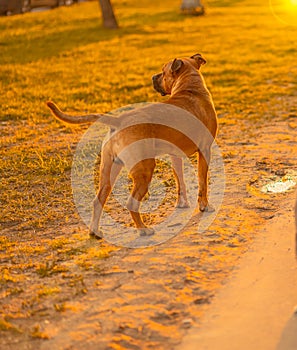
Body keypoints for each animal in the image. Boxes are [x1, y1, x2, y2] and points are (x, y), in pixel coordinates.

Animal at [47, 54, 216, 238]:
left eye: (162, 72)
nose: (153, 76)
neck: (191, 88)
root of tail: (119, 120)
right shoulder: (204, 151)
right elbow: (202, 182)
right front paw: (204, 205)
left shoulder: (175, 155)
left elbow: (180, 181)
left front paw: (182, 203)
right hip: (145, 170)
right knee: (131, 203)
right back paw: (143, 229)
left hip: (109, 170)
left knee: (98, 200)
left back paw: (95, 230)